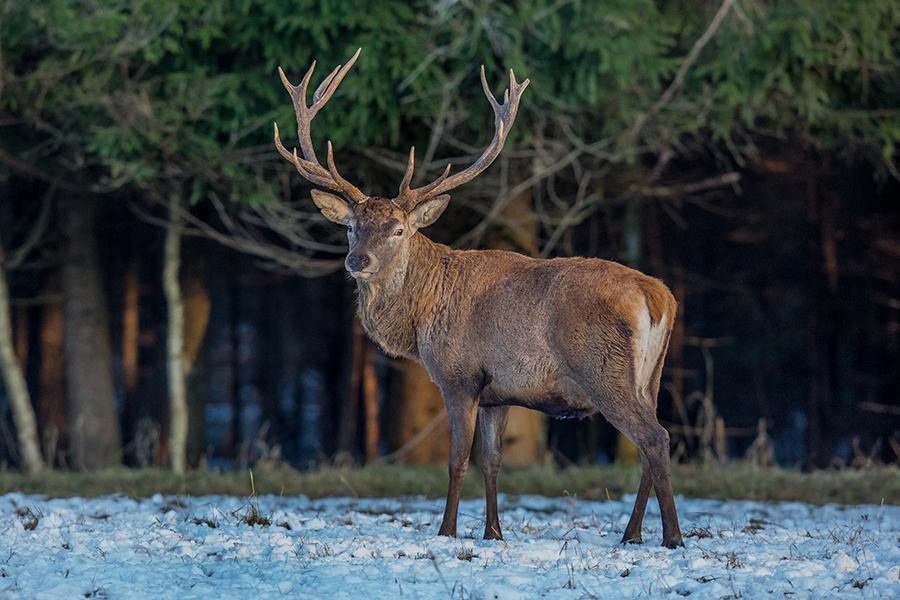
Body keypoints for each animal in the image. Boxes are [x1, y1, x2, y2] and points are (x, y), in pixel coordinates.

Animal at [272, 48, 684, 548]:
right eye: (351, 226)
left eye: (398, 229)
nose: (357, 261)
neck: (420, 320)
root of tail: (657, 296)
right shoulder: (498, 392)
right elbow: (492, 462)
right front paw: (493, 533)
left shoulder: (459, 376)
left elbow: (456, 461)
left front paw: (447, 530)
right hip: (651, 377)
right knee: (649, 441)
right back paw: (632, 534)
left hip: (605, 370)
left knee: (655, 439)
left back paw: (671, 536)